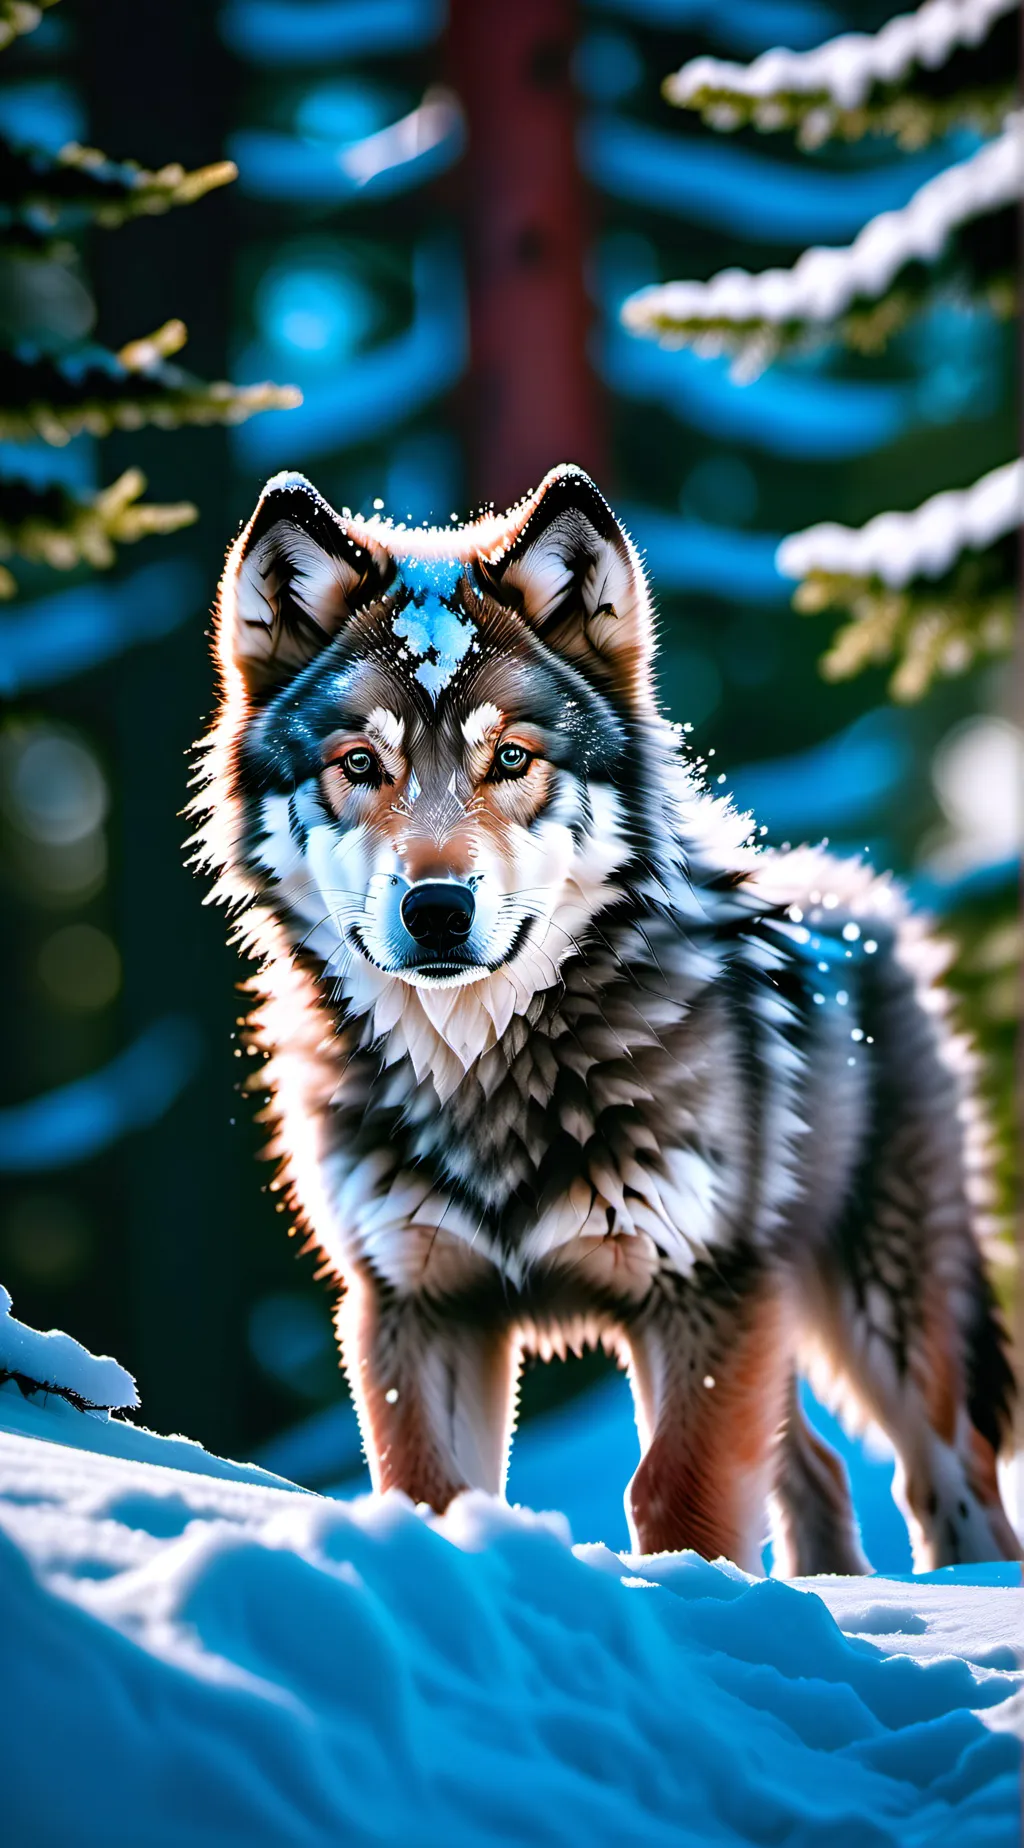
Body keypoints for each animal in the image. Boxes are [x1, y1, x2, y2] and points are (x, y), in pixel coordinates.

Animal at [195, 462, 1019, 1574]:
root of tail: (864, 899)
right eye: (360, 765)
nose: (436, 909)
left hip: (880, 1317)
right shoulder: (414, 1303)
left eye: (510, 760)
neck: (481, 1081)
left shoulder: (701, 1290)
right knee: (817, 1470)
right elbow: (432, 1494)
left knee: (947, 1484)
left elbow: (677, 1500)